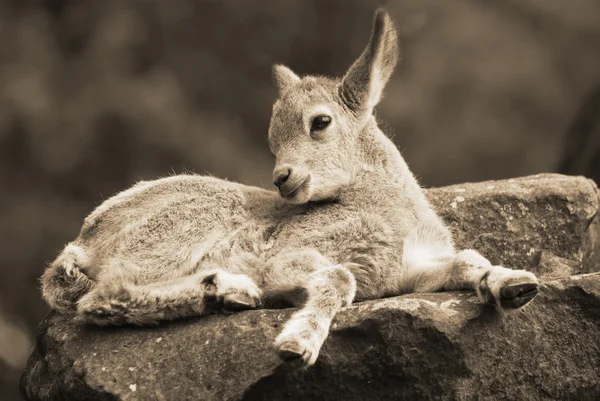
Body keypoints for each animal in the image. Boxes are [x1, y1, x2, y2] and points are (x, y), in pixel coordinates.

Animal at [42, 10, 540, 366]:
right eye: (270, 139)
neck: (391, 216)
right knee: (104, 296)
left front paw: (515, 285)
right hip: (178, 229)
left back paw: (225, 292)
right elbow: (338, 277)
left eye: (320, 122)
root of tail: (80, 245)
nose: (282, 178)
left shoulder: (403, 274)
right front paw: (298, 343)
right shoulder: (287, 256)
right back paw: (228, 289)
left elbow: (467, 261)